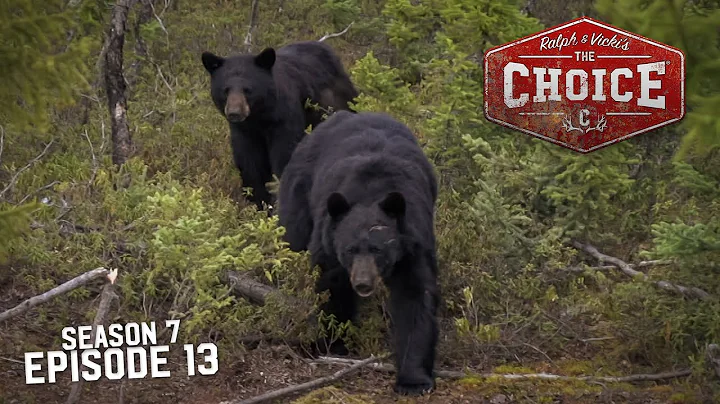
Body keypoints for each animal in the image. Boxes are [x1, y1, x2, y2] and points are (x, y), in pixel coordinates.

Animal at [201, 41, 358, 213]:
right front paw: (258, 202)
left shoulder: (284, 119)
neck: (260, 118)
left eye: (248, 90)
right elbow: (250, 164)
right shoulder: (245, 132)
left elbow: (284, 155)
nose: (235, 112)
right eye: (225, 90)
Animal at [277, 110, 440, 396]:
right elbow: (330, 284)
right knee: (292, 235)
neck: (371, 193)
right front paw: (332, 342)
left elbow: (415, 296)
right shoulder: (329, 238)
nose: (363, 282)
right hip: (299, 190)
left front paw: (413, 380)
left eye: (378, 249)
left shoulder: (413, 239)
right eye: (350, 249)